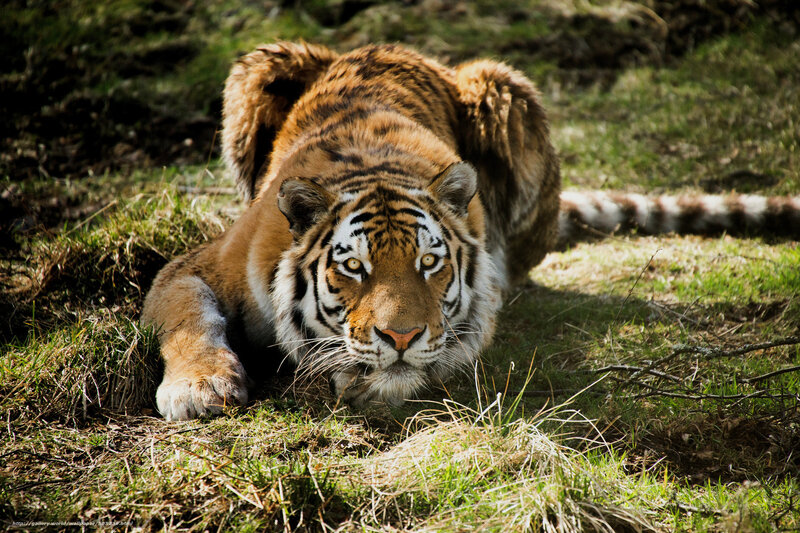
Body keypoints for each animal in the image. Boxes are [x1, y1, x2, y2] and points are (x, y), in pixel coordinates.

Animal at [141, 42, 800, 421]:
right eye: (353, 267)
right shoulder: (195, 266)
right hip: (259, 65)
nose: (400, 337)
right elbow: (189, 318)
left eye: (429, 264)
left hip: (505, 89)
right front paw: (199, 388)